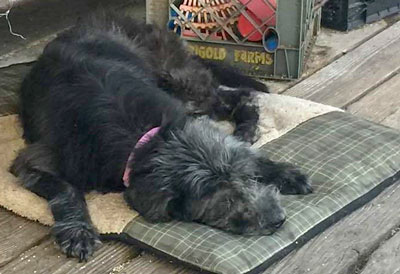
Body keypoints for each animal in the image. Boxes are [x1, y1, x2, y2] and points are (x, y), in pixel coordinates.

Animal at [9, 12, 312, 262]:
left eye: (249, 177)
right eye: (222, 199)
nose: (278, 219)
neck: (141, 135)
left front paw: (283, 173)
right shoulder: (34, 161)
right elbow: (67, 190)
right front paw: (78, 231)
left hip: (180, 82)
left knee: (238, 96)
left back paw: (246, 128)